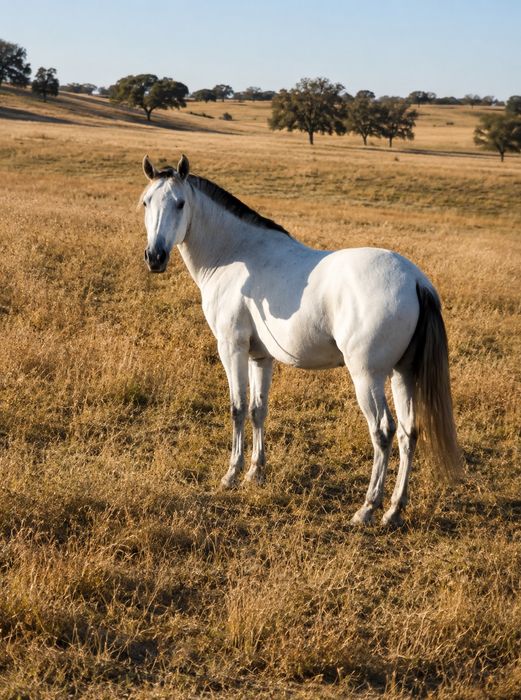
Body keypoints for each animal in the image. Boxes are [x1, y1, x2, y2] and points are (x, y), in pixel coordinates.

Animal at [140, 154, 462, 527]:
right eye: (146, 202)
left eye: (180, 203)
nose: (155, 257)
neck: (235, 257)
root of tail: (415, 281)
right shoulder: (260, 357)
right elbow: (258, 409)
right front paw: (255, 473)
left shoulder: (231, 348)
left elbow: (237, 408)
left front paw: (231, 474)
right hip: (402, 374)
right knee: (410, 433)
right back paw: (394, 510)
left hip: (367, 377)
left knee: (383, 432)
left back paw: (368, 508)